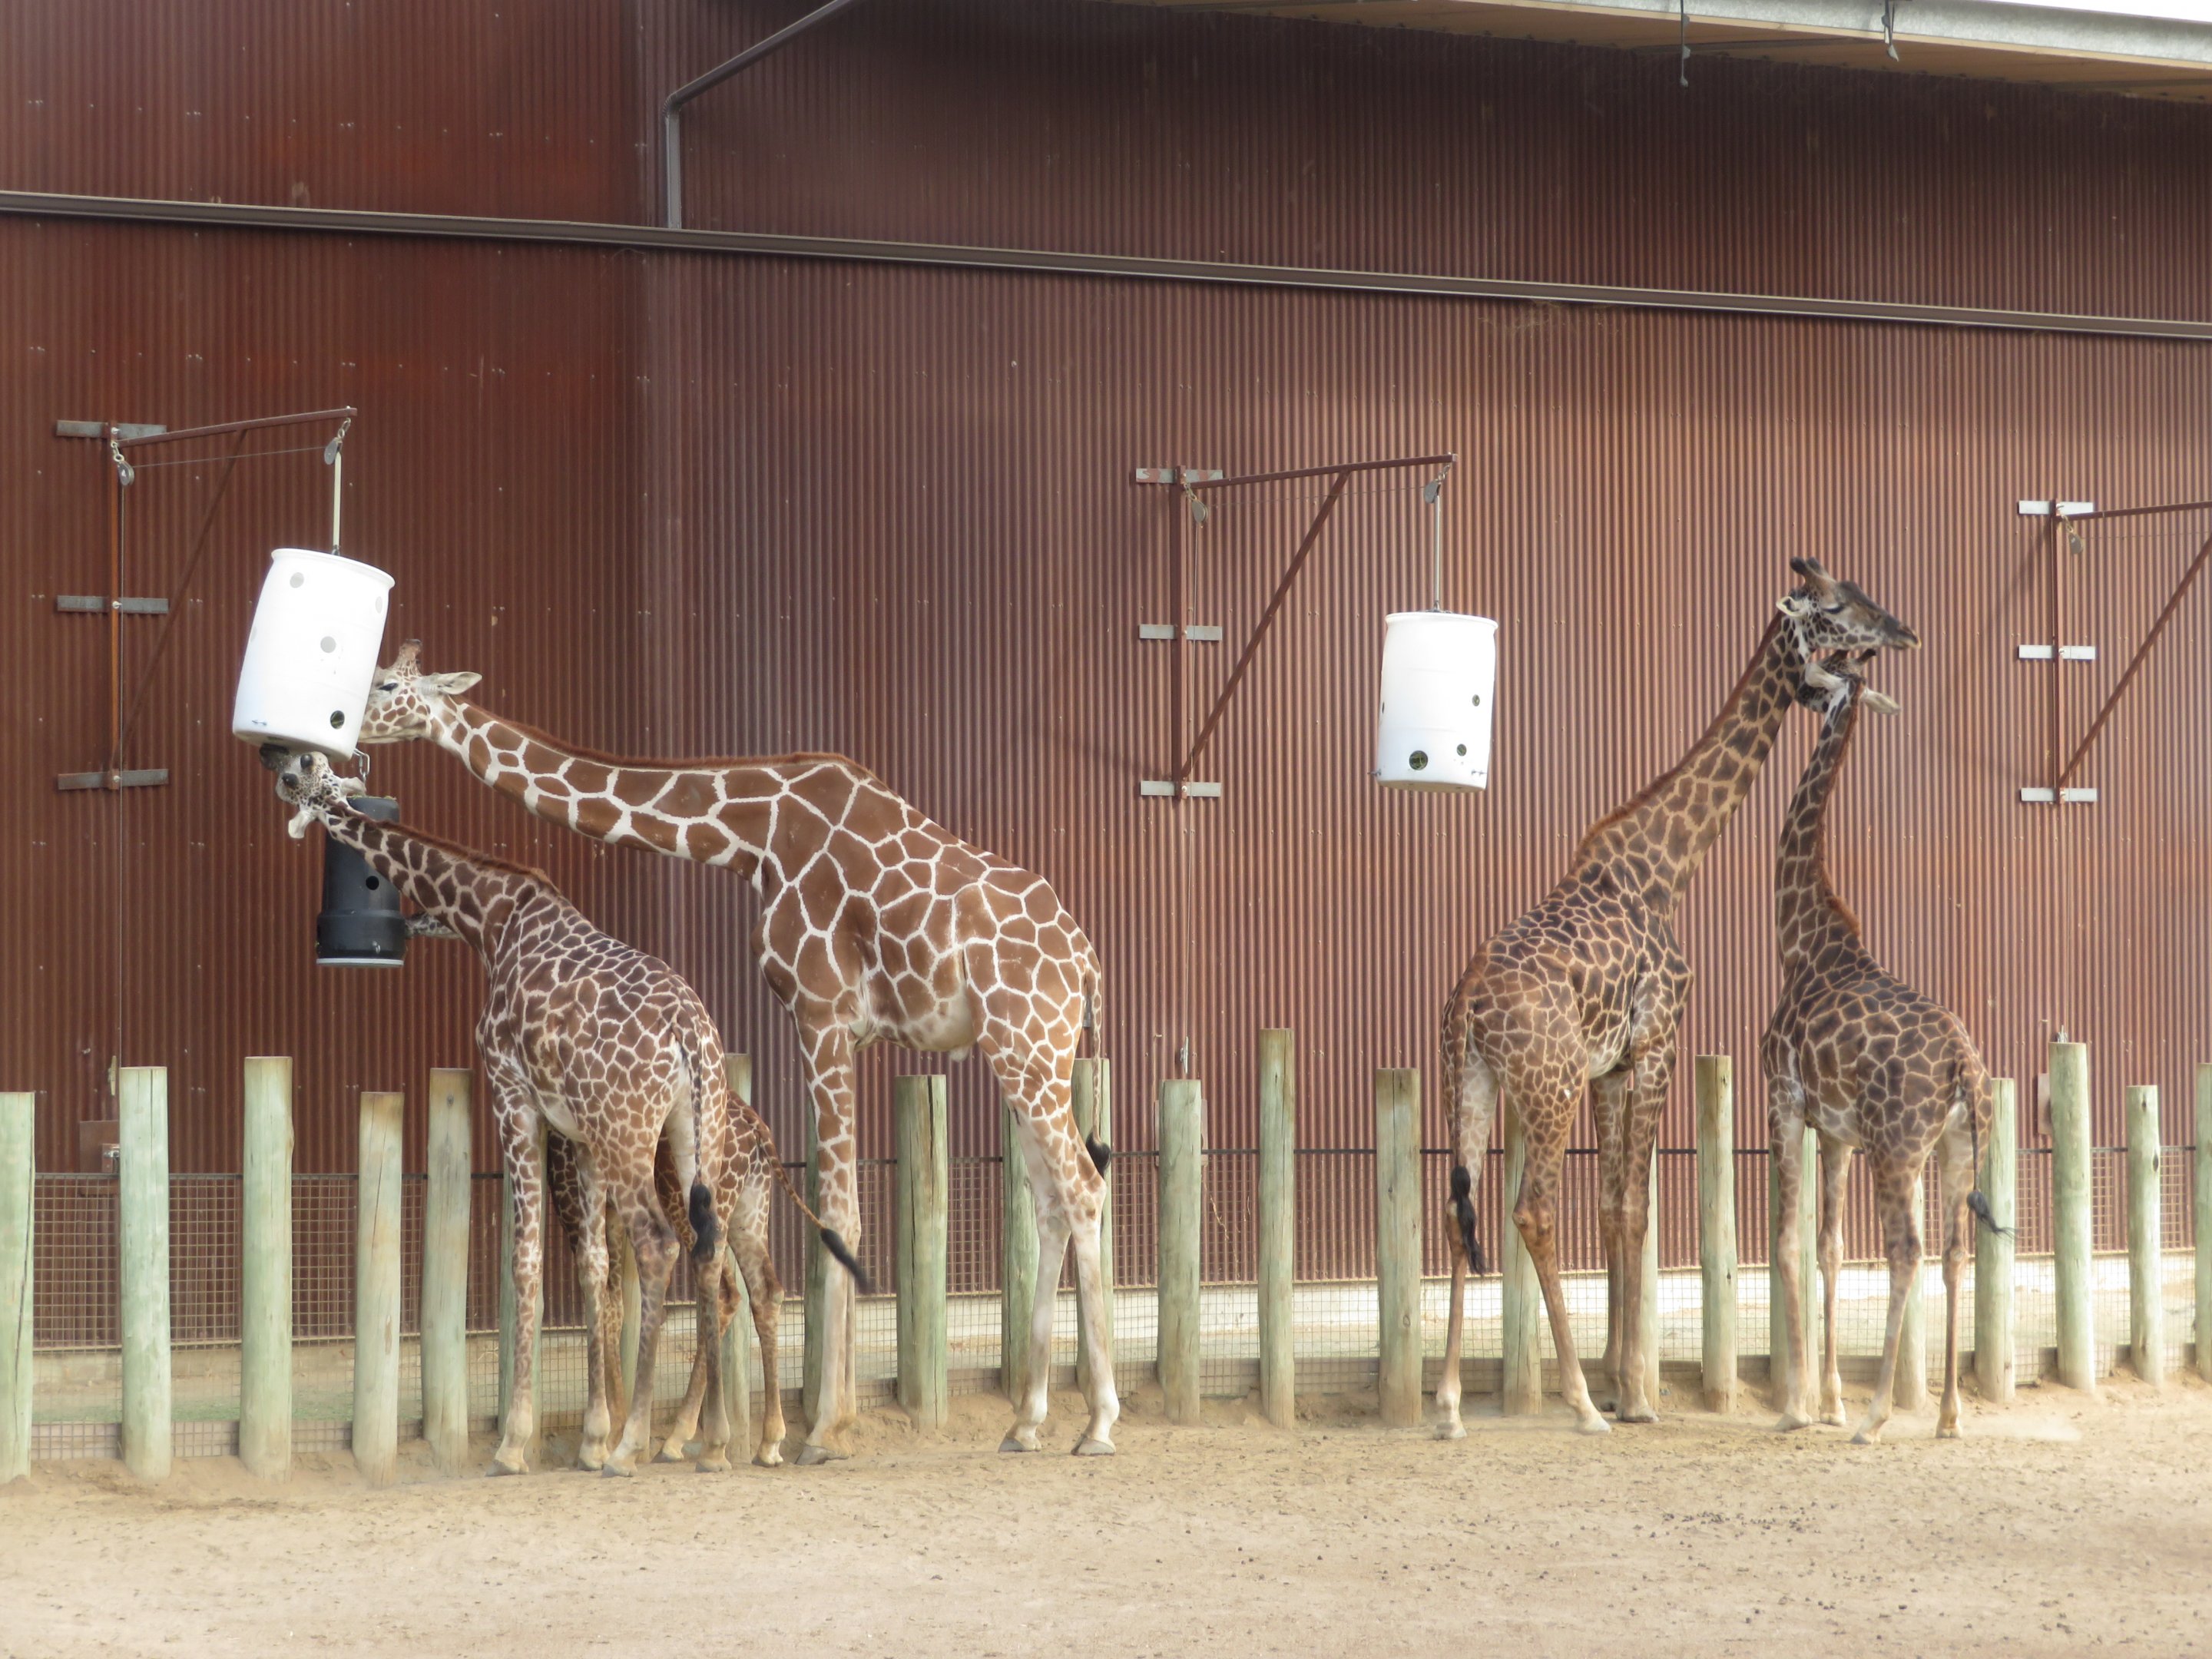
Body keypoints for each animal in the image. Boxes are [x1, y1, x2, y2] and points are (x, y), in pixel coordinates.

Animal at [271, 748, 852, 1474]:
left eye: (303, 775)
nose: (280, 768)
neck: (494, 919)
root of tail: (692, 1035)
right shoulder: (577, 1134)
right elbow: (596, 1272)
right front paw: (592, 1435)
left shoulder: (513, 1094)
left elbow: (529, 1263)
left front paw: (519, 1443)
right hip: (698, 1140)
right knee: (722, 1268)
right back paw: (718, 1440)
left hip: (631, 1135)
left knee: (662, 1247)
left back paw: (644, 1443)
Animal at [355, 646, 1117, 1463]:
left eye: (388, 685)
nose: (340, 731)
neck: (754, 834)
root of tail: (1087, 963)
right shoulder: (839, 1027)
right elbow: (831, 1213)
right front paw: (820, 1423)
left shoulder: (821, 1011)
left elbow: (838, 1213)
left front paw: (824, 1429)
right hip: (1026, 1055)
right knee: (1050, 1199)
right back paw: (1027, 1421)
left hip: (1028, 1048)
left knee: (1083, 1185)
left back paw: (1099, 1422)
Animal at [1433, 558, 1920, 1438]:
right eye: (1835, 608)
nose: (1901, 633)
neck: (1670, 864)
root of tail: (1467, 1010)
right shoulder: (1655, 1044)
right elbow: (1633, 1210)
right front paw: (1631, 1396)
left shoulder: (1611, 1067)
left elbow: (1615, 1209)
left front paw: (1626, 1381)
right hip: (1546, 1086)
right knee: (1531, 1211)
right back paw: (1579, 1404)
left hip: (1474, 1082)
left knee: (1464, 1211)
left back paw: (1451, 1406)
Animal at [1761, 659, 1998, 1444]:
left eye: (1824, 676)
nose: (1798, 690)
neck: (1800, 941)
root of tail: (1962, 1067)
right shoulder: (1837, 1132)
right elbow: (1830, 1247)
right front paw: (1829, 1400)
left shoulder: (1784, 1102)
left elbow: (1788, 1242)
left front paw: (1800, 1409)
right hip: (1955, 1148)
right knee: (1955, 1254)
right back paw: (1949, 1414)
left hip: (1897, 1150)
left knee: (1906, 1253)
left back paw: (1876, 1416)